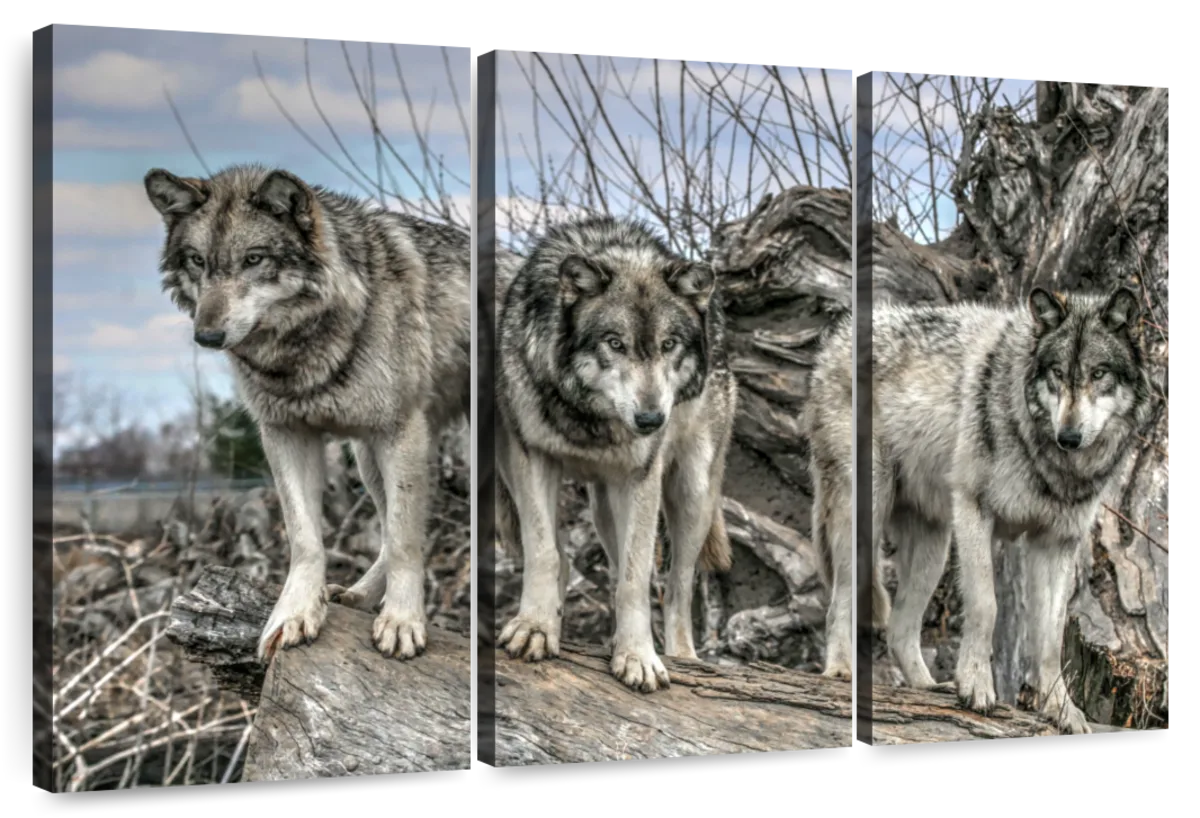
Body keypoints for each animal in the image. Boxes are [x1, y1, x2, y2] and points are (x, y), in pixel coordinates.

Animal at [144, 164, 471, 664]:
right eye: (197, 261)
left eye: (254, 259)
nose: (207, 336)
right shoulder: (285, 434)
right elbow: (305, 538)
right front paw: (296, 613)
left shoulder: (400, 432)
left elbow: (404, 540)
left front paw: (402, 621)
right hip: (368, 460)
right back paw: (357, 595)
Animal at [494, 216, 737, 693]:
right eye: (615, 343)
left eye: (668, 344)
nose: (651, 419)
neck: (589, 418)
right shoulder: (531, 458)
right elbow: (544, 551)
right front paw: (536, 626)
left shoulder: (641, 478)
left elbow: (634, 578)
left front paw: (637, 656)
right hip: (597, 507)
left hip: (691, 494)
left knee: (677, 588)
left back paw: (684, 657)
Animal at [806, 286, 1151, 734]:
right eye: (1058, 373)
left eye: (1098, 374)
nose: (1069, 437)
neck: (1049, 460)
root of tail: (833, 340)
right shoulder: (974, 510)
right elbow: (987, 605)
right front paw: (974, 687)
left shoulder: (1056, 543)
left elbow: (1050, 638)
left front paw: (1061, 709)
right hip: (867, 519)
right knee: (840, 601)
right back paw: (840, 670)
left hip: (934, 546)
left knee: (900, 629)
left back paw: (927, 687)